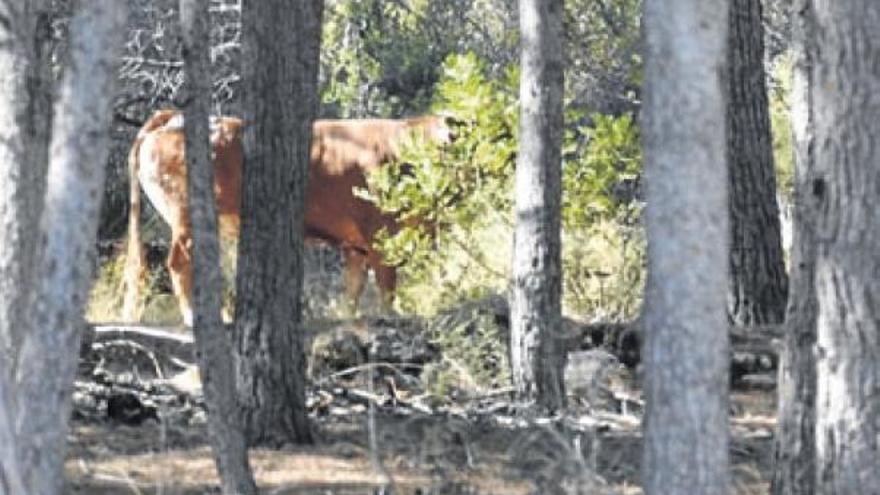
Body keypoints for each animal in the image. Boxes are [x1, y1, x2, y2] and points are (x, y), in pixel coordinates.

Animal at [122, 109, 454, 326]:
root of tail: (171, 118)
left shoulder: (354, 245)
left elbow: (353, 288)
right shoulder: (380, 234)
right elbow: (387, 284)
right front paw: (390, 315)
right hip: (187, 215)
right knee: (179, 262)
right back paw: (193, 317)